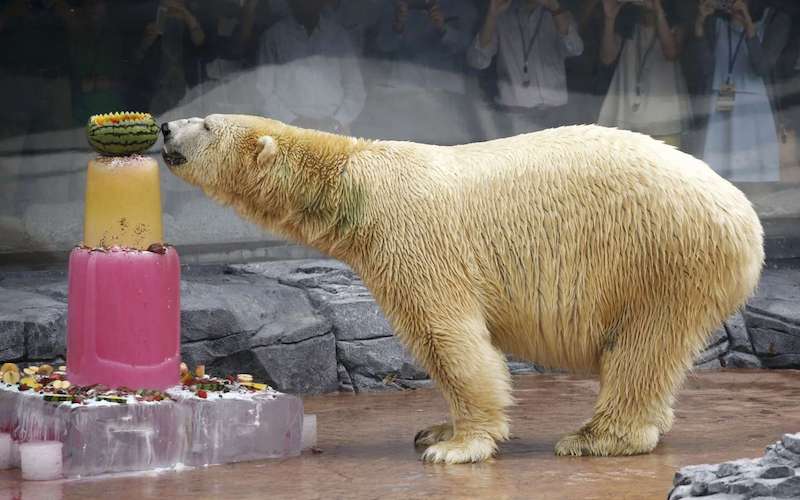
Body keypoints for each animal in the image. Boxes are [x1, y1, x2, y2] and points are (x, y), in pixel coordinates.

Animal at [161, 114, 764, 464]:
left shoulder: (412, 239)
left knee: (640, 348)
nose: (165, 126)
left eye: (207, 124)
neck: (354, 178)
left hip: (659, 257)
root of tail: (745, 216)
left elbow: (448, 336)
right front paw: (434, 430)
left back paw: (594, 438)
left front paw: (455, 446)